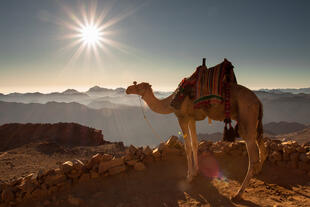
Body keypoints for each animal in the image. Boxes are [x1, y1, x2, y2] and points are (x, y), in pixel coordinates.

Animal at [125, 59, 266, 201]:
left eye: (139, 86)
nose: (127, 89)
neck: (170, 102)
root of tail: (258, 101)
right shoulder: (192, 118)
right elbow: (194, 143)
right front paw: (196, 171)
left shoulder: (182, 117)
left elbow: (187, 146)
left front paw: (189, 176)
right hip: (254, 122)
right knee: (260, 143)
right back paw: (258, 171)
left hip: (247, 118)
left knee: (252, 157)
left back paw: (238, 193)